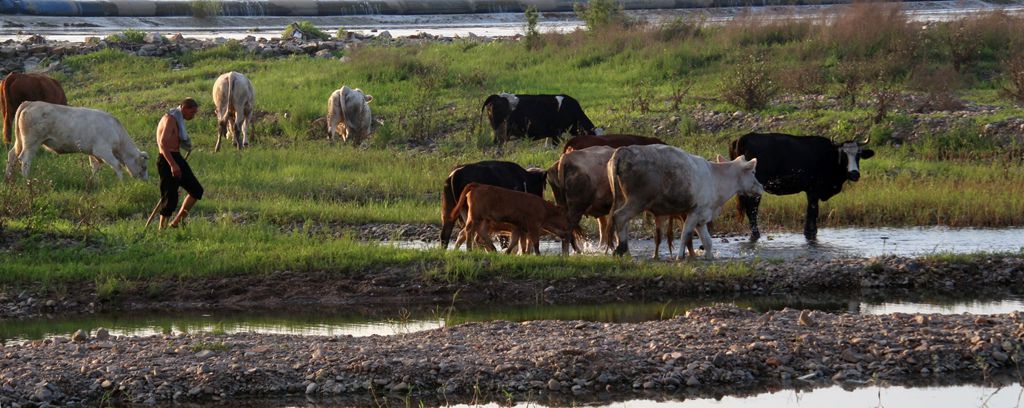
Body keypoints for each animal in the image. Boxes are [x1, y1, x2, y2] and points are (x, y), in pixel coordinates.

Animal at [4, 100, 149, 181]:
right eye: (144, 166)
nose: (145, 181)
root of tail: (30, 102)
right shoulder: (103, 151)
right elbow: (117, 165)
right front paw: (121, 183)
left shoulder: (93, 152)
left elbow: (95, 167)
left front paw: (94, 182)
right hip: (32, 142)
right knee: (25, 160)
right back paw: (27, 180)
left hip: (20, 141)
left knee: (12, 155)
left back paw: (8, 178)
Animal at [606, 144, 761, 259]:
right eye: (753, 172)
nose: (761, 187)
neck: (715, 178)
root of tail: (624, 150)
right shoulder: (695, 211)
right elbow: (685, 234)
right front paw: (680, 256)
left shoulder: (702, 216)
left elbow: (707, 241)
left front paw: (709, 257)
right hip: (638, 200)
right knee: (620, 216)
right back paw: (621, 248)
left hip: (622, 198)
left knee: (621, 221)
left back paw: (626, 251)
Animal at [724, 132, 876, 240]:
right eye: (844, 155)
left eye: (859, 155)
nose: (854, 174)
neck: (829, 157)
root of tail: (744, 138)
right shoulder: (814, 190)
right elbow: (812, 211)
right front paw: (810, 233)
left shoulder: (810, 191)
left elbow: (812, 212)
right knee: (752, 208)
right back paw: (756, 234)